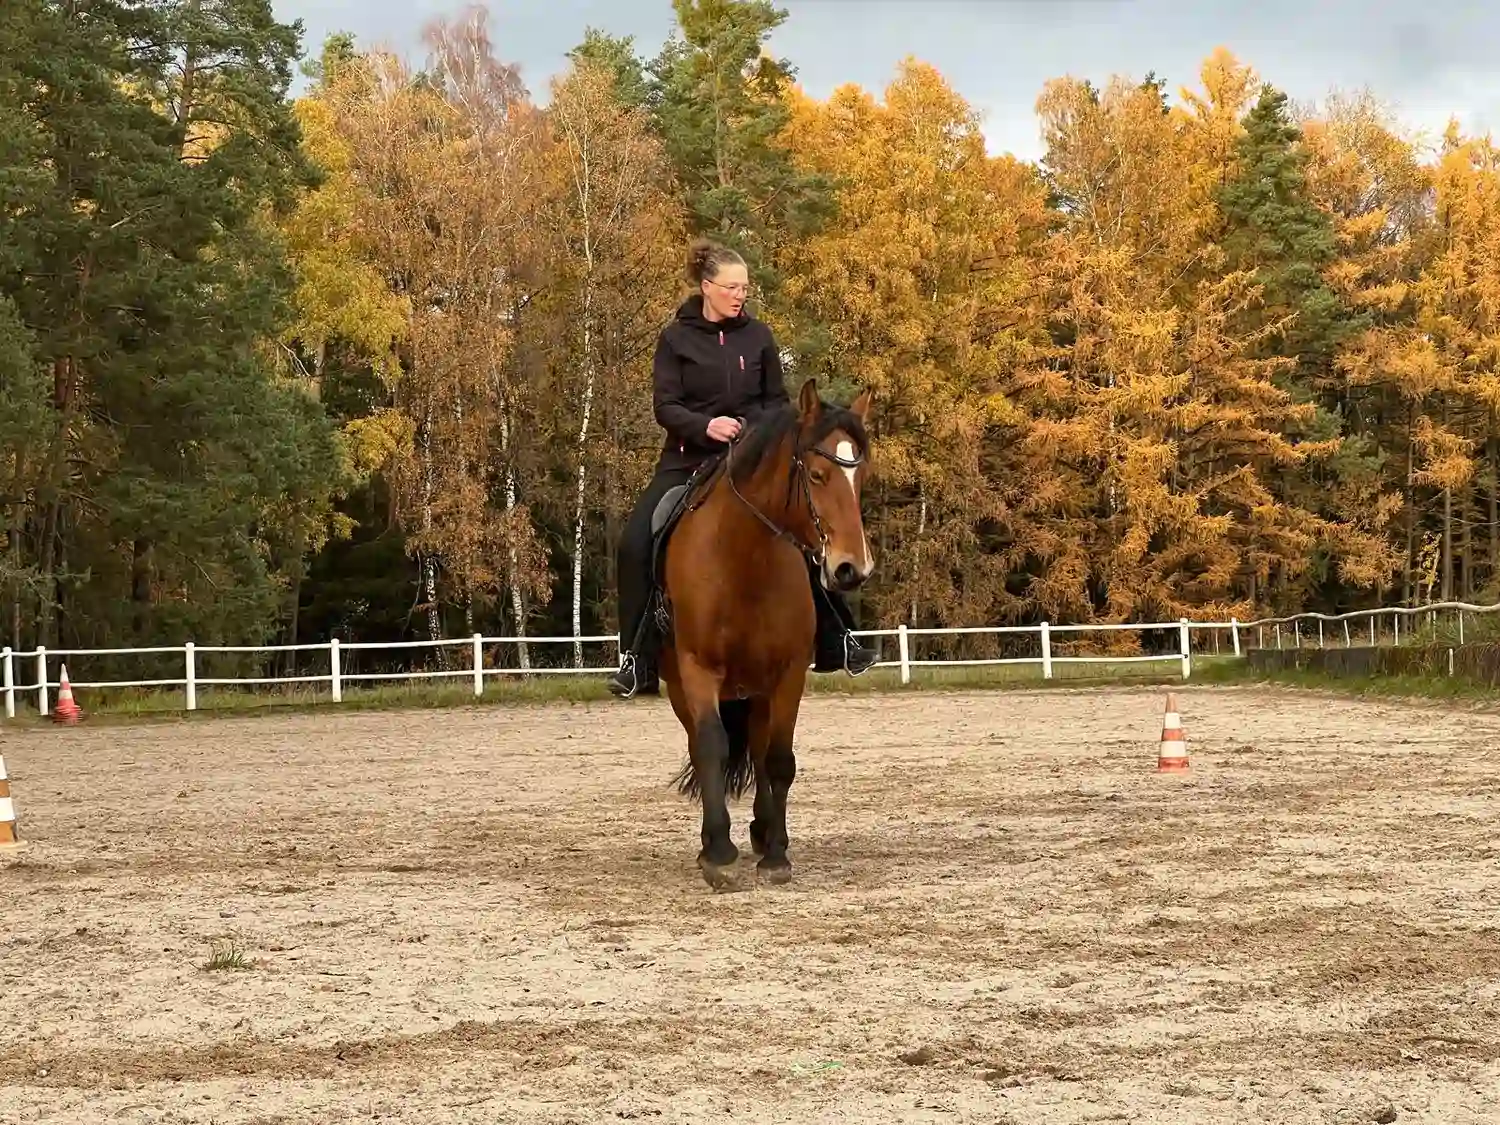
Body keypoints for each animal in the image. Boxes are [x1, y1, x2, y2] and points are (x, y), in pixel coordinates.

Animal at [648, 377, 875, 891]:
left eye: (861, 478)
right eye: (817, 475)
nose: (851, 569)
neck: (743, 558)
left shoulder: (788, 675)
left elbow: (778, 759)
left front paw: (775, 854)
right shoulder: (698, 671)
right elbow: (711, 748)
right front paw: (718, 854)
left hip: (756, 690)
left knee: (756, 746)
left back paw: (762, 828)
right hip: (684, 688)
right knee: (703, 746)